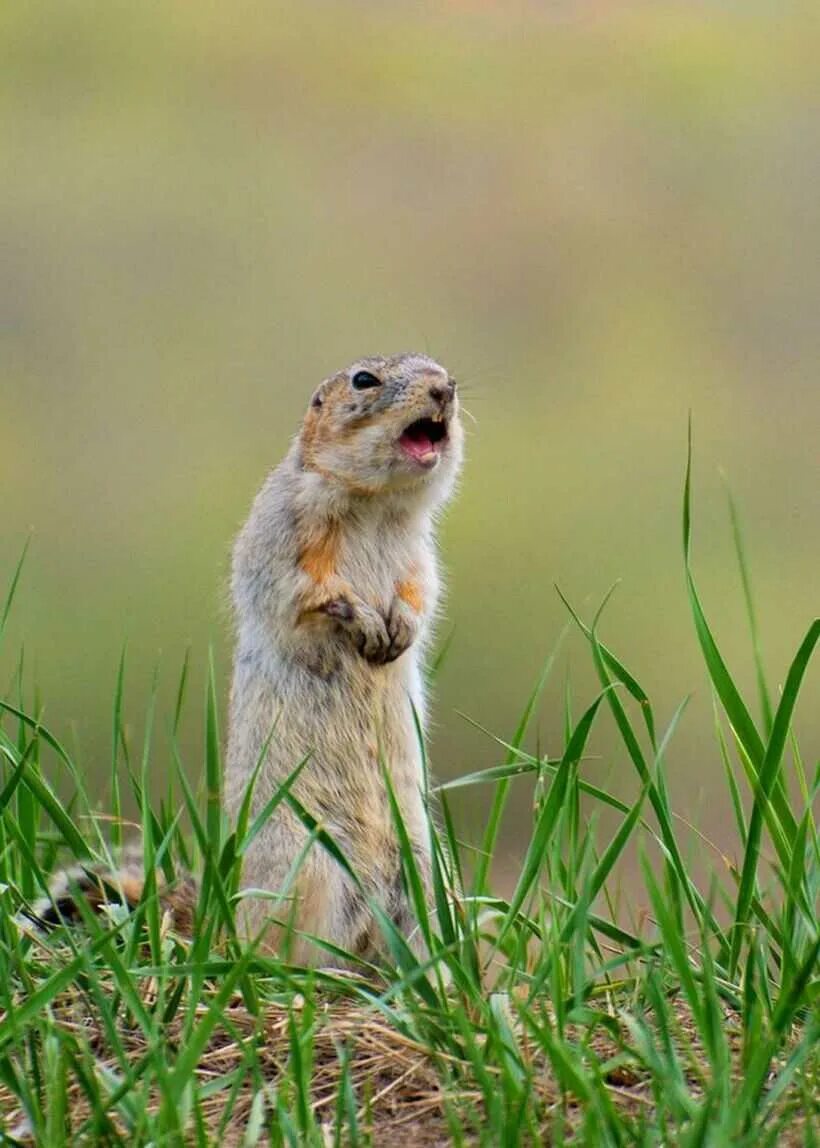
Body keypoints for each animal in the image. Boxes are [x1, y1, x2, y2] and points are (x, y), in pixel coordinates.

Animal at [30, 351, 459, 968]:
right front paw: (362, 619)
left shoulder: (420, 553)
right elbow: (301, 591)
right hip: (309, 865)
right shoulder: (282, 532)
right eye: (364, 380)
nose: (445, 389)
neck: (377, 504)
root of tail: (222, 921)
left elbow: (420, 592)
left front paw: (398, 626)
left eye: (441, 368)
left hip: (424, 873)